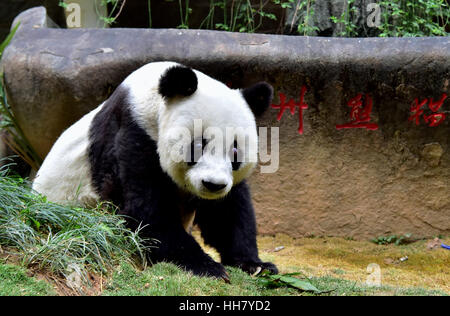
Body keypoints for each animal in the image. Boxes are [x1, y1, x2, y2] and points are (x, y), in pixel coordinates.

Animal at [32, 61, 278, 278]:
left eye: (235, 151)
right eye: (199, 145)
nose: (213, 185)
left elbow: (226, 211)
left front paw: (255, 265)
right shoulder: (133, 134)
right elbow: (146, 210)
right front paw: (207, 267)